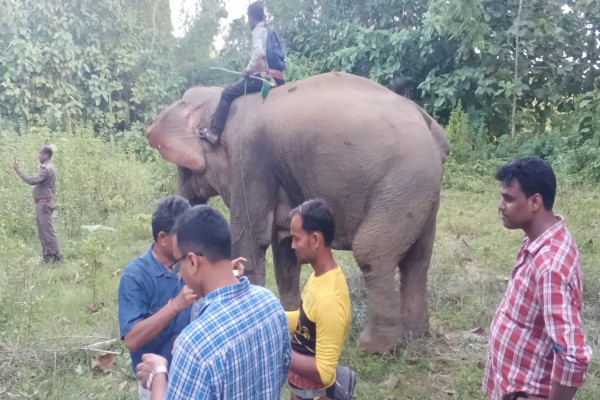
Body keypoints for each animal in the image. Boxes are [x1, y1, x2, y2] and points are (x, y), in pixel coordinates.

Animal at [146, 72, 450, 354]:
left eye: (185, 169)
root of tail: (428, 124)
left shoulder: (250, 160)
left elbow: (251, 240)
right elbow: (285, 249)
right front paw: (288, 318)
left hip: (404, 180)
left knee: (371, 252)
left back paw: (376, 347)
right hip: (422, 190)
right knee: (418, 259)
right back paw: (416, 334)